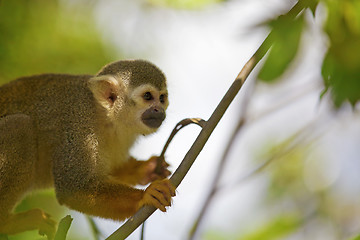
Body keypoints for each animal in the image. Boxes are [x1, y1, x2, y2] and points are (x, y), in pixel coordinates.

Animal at [0, 59, 176, 238]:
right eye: (148, 96)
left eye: (162, 98)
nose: (159, 109)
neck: (105, 115)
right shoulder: (79, 125)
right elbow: (72, 188)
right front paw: (145, 195)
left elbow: (111, 169)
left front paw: (147, 169)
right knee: (19, 126)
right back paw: (7, 223)